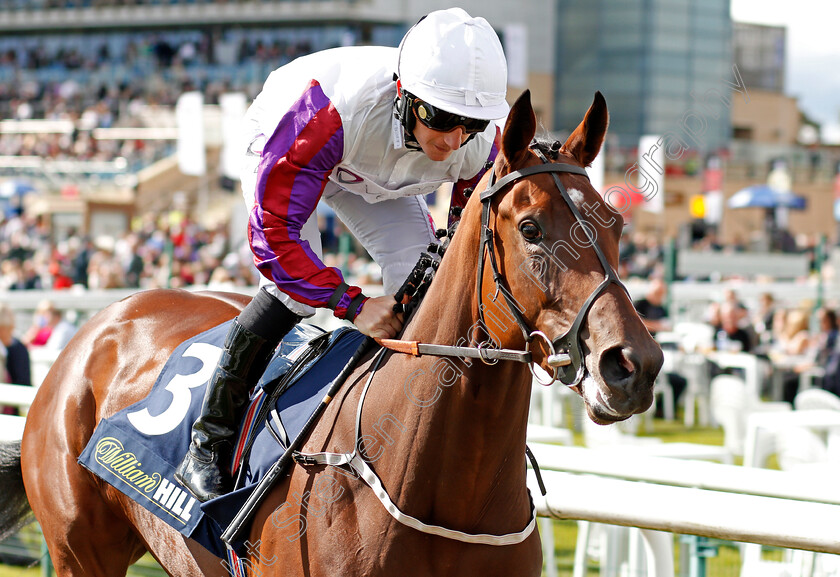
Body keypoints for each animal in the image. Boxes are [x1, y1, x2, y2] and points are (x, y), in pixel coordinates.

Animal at [0, 90, 664, 576]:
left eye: (617, 222)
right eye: (529, 228)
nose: (632, 365)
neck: (444, 486)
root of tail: (100, 324)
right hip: (79, 553)